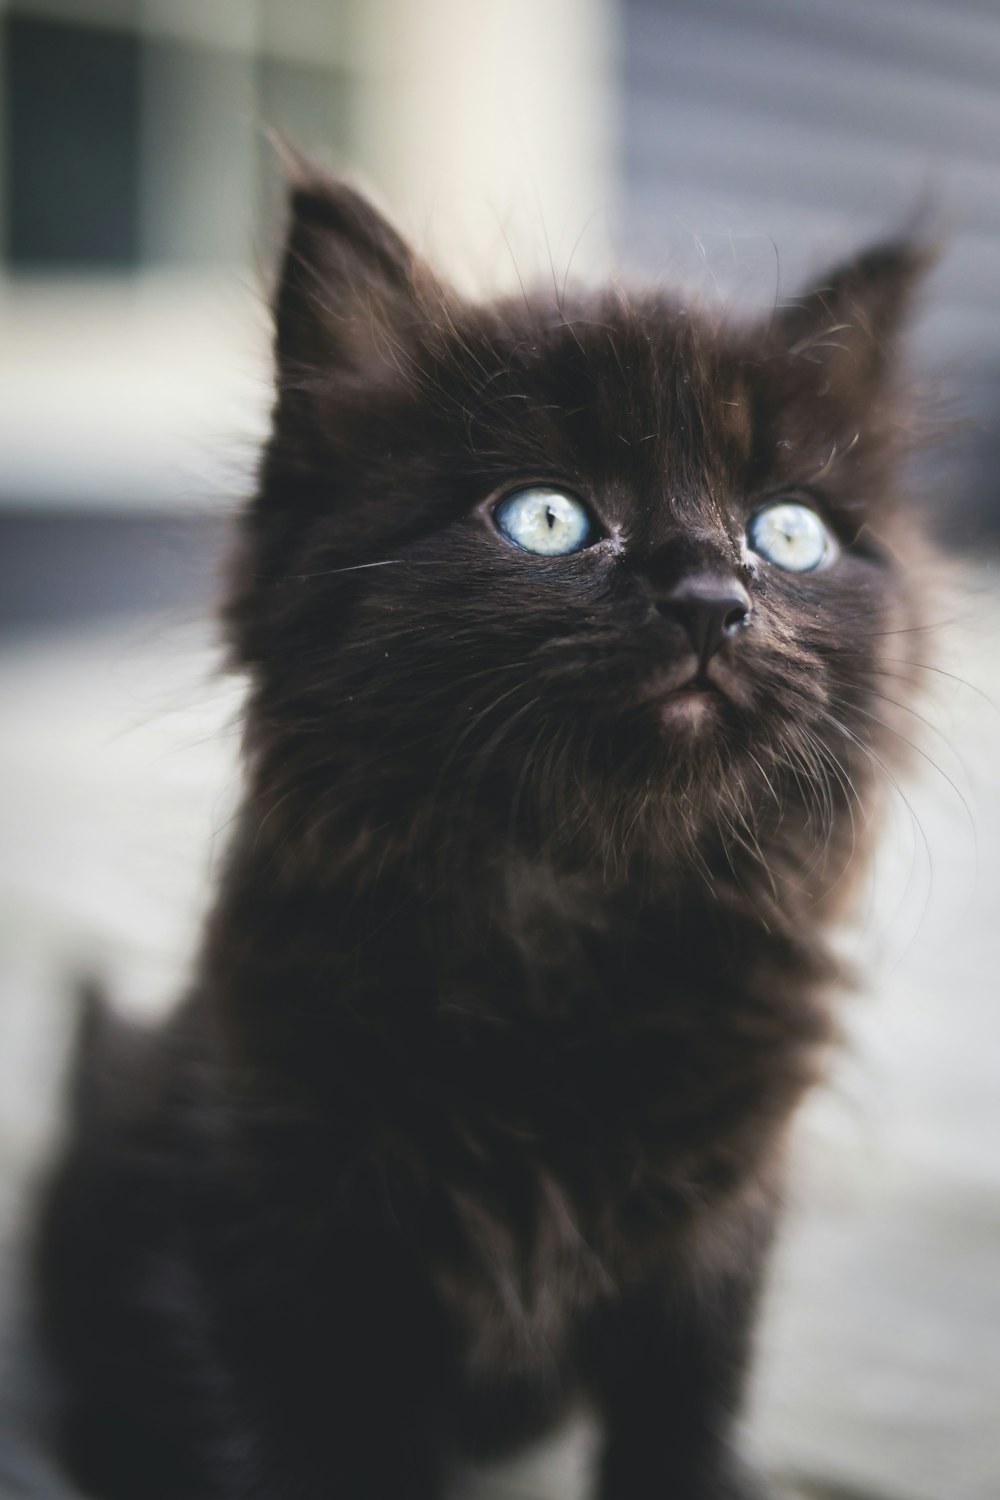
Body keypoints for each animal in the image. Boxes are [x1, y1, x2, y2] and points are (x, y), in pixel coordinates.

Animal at [37, 178, 929, 1500]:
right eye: (546, 518)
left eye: (787, 534)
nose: (711, 601)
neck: (572, 925)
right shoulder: (290, 1237)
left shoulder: (714, 1242)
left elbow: (682, 1428)